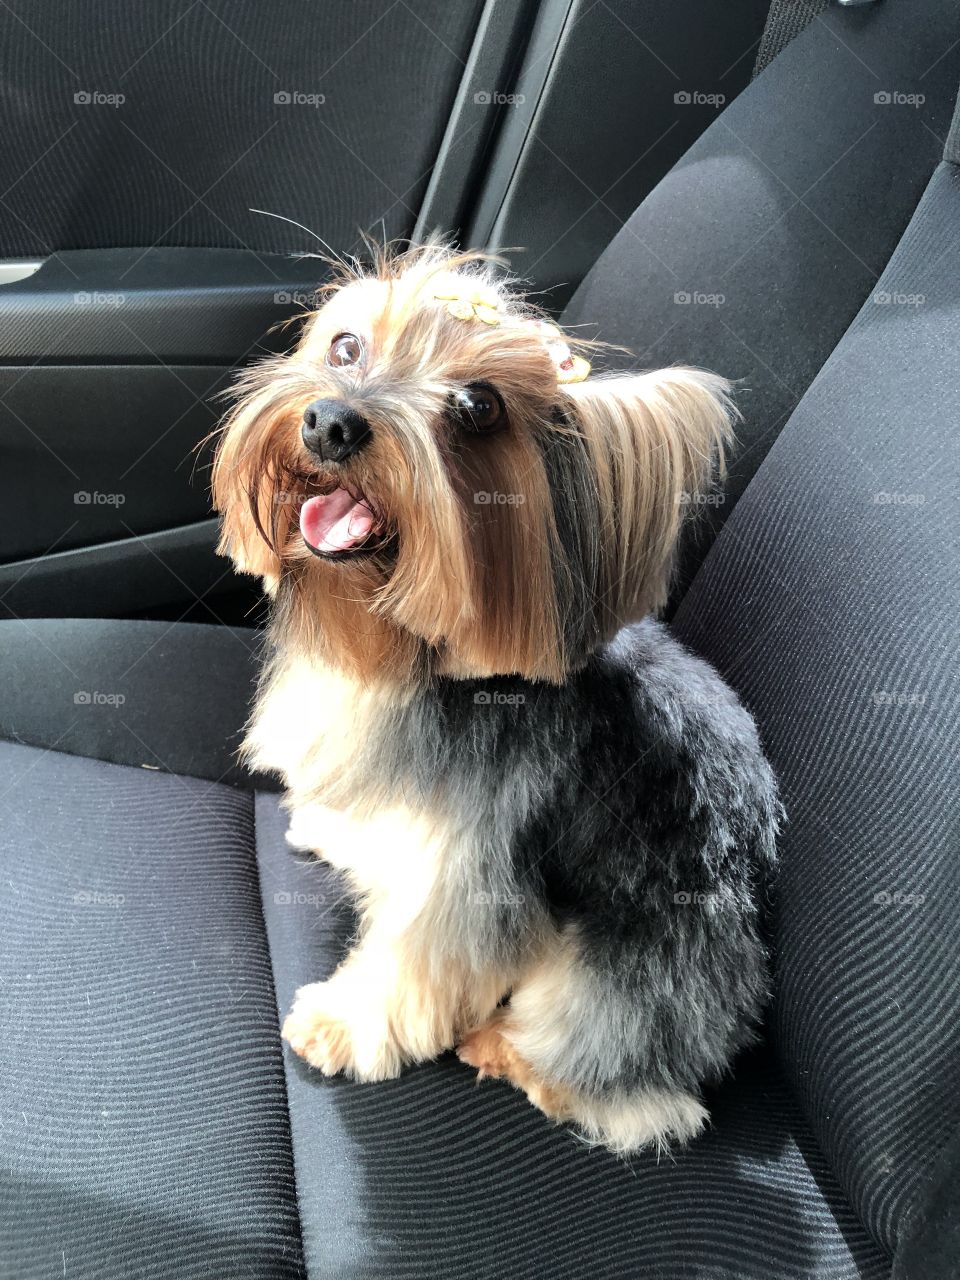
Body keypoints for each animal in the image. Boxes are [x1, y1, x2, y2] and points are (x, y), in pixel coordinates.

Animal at [212, 241, 783, 1162]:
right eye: (344, 347)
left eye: (478, 408)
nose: (332, 422)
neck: (417, 662)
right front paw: (334, 828)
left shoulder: (478, 859)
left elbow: (423, 952)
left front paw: (344, 1022)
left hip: (646, 966)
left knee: (643, 1094)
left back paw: (509, 1050)